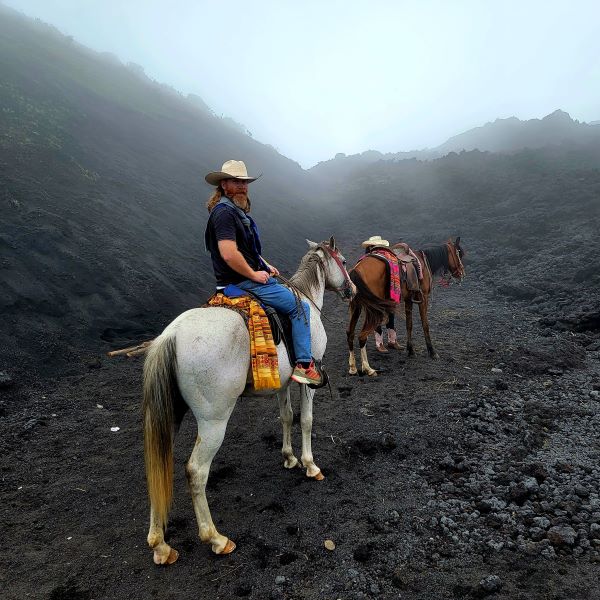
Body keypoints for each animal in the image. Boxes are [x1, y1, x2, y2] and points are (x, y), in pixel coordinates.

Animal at [143, 237, 354, 564]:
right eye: (343, 261)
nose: (352, 290)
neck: (305, 300)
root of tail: (172, 336)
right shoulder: (309, 381)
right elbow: (306, 420)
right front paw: (309, 465)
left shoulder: (282, 383)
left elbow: (286, 416)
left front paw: (289, 458)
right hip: (213, 421)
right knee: (196, 471)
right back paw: (216, 538)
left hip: (169, 417)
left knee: (158, 465)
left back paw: (160, 545)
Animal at [344, 238, 466, 376]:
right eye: (459, 253)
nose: (462, 273)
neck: (423, 262)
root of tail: (356, 270)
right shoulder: (423, 299)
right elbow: (425, 325)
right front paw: (432, 352)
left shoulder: (408, 300)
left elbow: (409, 324)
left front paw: (410, 350)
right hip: (373, 311)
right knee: (362, 336)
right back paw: (368, 369)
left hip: (356, 307)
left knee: (350, 333)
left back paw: (353, 367)